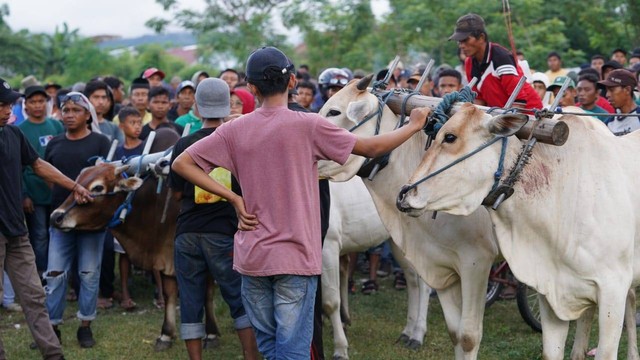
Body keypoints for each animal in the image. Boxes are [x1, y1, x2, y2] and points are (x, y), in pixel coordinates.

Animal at [48, 130, 221, 352]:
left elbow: (207, 293)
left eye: (97, 187)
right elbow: (169, 294)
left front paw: (211, 333)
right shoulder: (167, 256)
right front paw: (166, 334)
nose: (55, 217)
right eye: (77, 180)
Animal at [324, 178, 430, 360]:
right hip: (398, 240)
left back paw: (417, 336)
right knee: (412, 279)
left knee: (425, 284)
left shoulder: (329, 245)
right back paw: (407, 332)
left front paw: (340, 350)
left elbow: (330, 302)